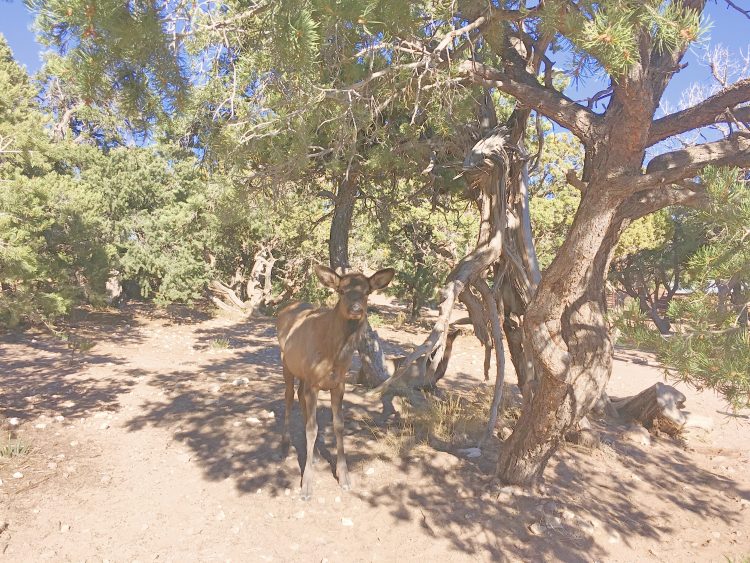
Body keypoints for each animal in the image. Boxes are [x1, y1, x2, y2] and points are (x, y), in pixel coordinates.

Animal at [276, 266, 394, 500]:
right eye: (341, 290)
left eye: (367, 291)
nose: (356, 309)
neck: (333, 355)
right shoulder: (314, 382)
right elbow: (312, 428)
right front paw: (306, 487)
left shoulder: (339, 384)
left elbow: (338, 425)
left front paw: (344, 477)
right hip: (287, 361)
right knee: (289, 397)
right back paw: (285, 444)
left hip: (304, 374)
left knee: (300, 396)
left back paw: (314, 455)